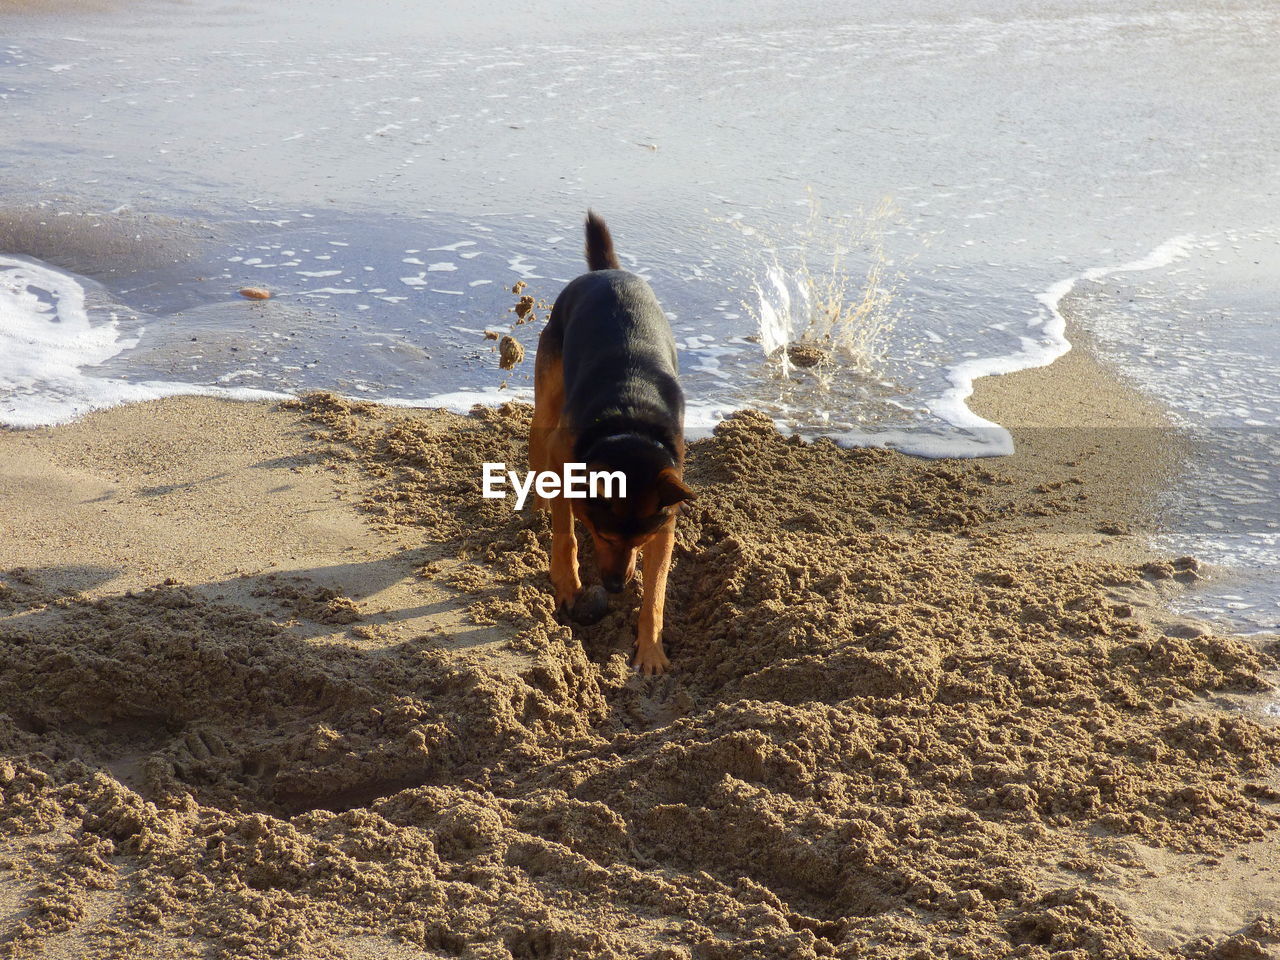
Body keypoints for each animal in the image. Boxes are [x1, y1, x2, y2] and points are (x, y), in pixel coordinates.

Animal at [527, 209, 696, 675]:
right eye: (601, 534)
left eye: (638, 541)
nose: (618, 587)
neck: (629, 428)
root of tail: (608, 271)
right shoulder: (566, 463)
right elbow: (565, 533)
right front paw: (567, 582)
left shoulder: (667, 513)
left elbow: (656, 592)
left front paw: (651, 649)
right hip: (548, 395)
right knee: (536, 441)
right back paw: (536, 506)